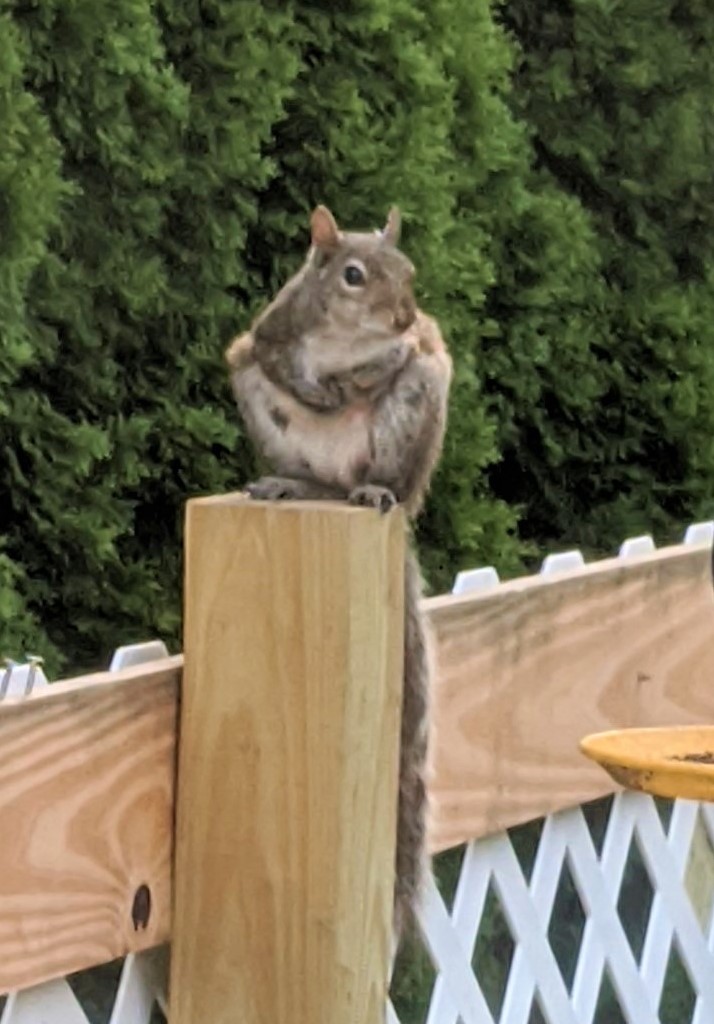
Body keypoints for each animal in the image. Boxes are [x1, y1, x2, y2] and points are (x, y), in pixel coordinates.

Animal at [225, 205, 452, 938]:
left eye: (408, 269)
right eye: (353, 275)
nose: (403, 315)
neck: (344, 340)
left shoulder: (419, 353)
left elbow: (397, 360)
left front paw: (365, 373)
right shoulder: (268, 334)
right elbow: (275, 355)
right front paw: (317, 384)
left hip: (411, 421)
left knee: (381, 479)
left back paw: (373, 491)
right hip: (263, 411)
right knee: (310, 473)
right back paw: (291, 484)